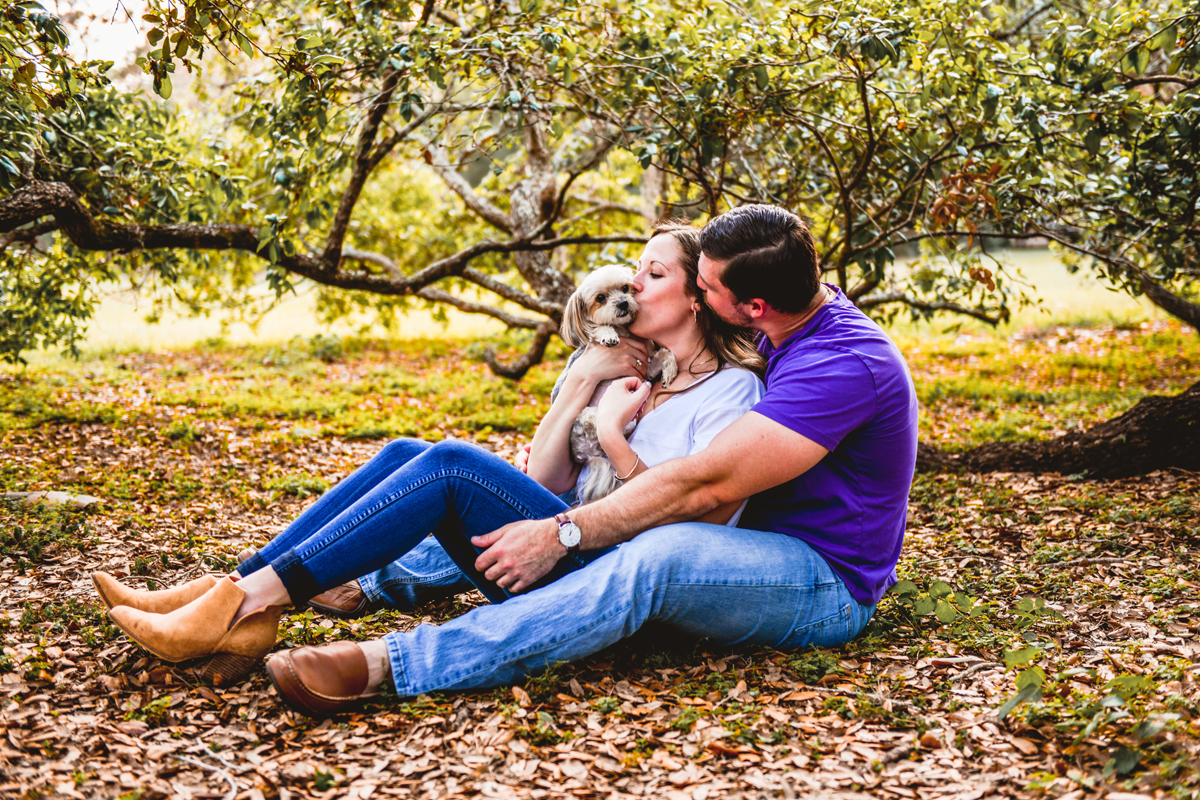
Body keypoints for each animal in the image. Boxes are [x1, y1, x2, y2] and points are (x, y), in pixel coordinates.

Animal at [559, 262, 676, 503]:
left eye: (625, 288)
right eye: (600, 298)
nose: (623, 303)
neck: (624, 330)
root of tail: (589, 455)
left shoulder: (645, 367)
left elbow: (666, 353)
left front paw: (671, 370)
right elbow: (597, 328)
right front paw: (608, 334)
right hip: (588, 414)